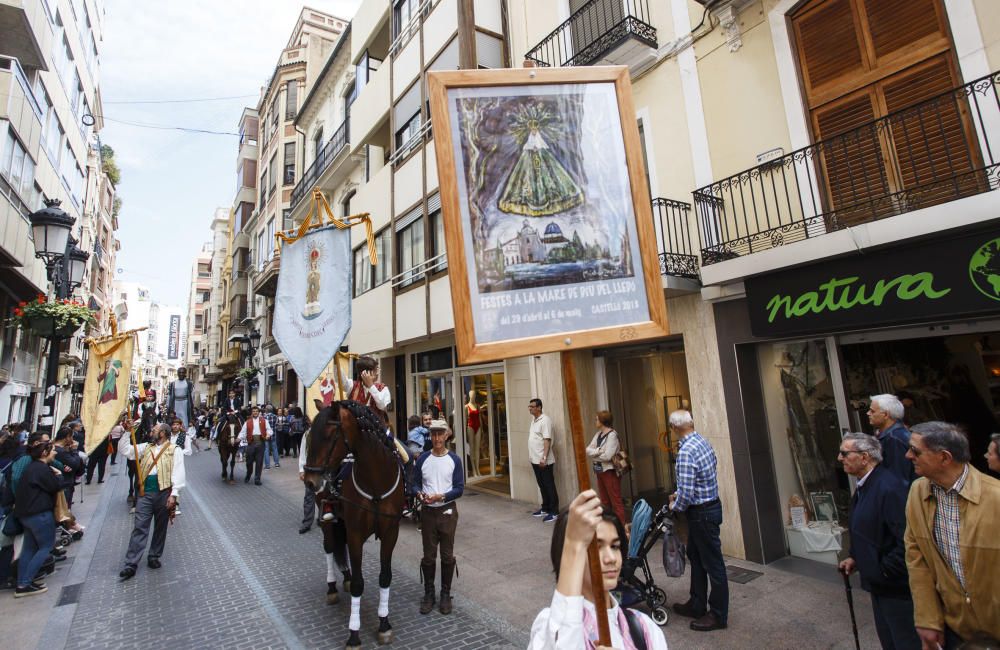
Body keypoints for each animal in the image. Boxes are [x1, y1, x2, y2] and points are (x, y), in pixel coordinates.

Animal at [302, 398, 404, 644]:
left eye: (328, 435)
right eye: (309, 437)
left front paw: (384, 624)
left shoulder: (390, 532)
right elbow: (359, 583)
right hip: (329, 520)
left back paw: (345, 578)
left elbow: (385, 577)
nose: (310, 481)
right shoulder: (357, 531)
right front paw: (354, 634)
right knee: (330, 548)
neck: (375, 479)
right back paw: (332, 588)